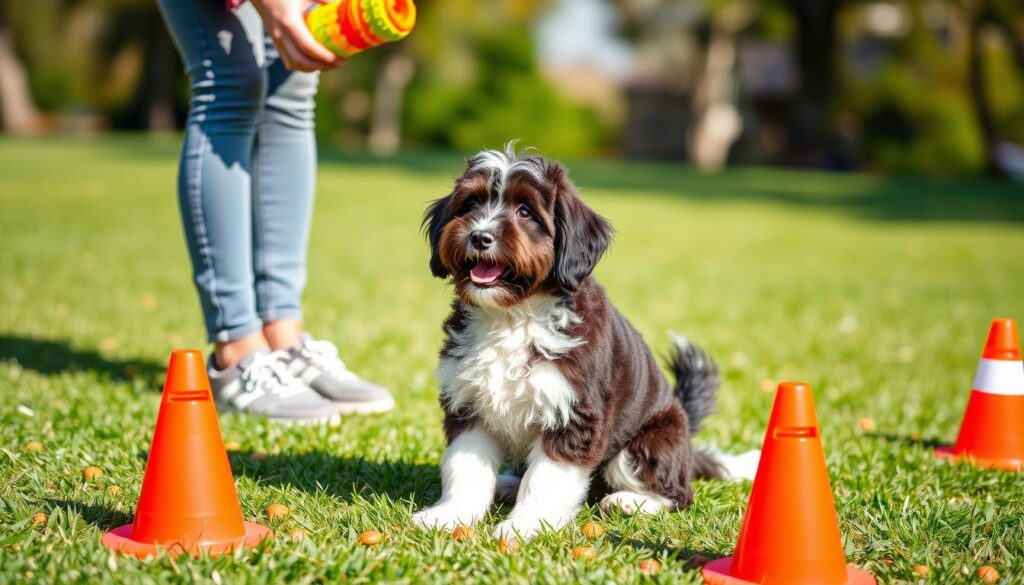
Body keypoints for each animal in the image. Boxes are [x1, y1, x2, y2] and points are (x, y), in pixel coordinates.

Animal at [411, 144, 757, 540]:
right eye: (470, 204)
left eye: (526, 211)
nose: (480, 236)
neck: (514, 315)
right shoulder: (468, 405)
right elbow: (465, 467)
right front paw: (450, 515)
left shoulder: (575, 413)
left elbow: (546, 479)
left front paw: (526, 525)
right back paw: (510, 484)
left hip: (648, 442)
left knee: (678, 494)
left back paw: (629, 501)